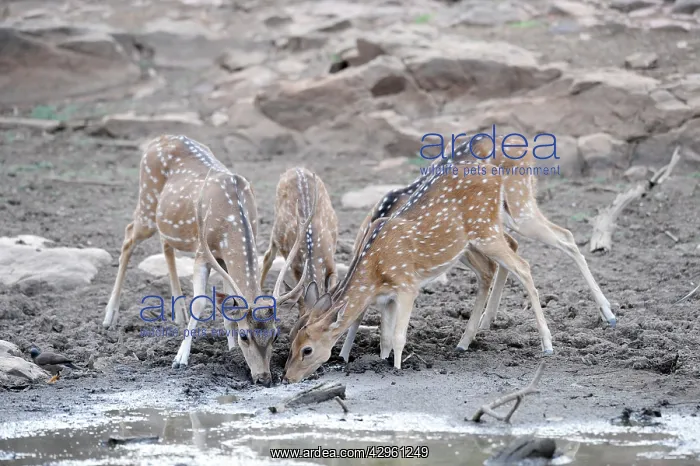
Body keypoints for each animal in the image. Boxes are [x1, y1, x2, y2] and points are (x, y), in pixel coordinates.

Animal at [101, 134, 312, 386]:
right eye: (245, 336)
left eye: (275, 334)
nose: (263, 378)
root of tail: (157, 139)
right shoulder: (203, 253)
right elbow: (200, 302)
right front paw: (180, 358)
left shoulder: (223, 257)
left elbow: (229, 302)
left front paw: (230, 350)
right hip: (147, 204)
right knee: (127, 236)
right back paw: (109, 316)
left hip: (166, 220)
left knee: (164, 244)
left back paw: (178, 313)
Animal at [259, 167, 339, 319]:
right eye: (301, 318)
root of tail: (295, 168)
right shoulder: (295, 266)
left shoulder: (331, 261)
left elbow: (332, 287)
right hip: (276, 228)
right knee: (268, 257)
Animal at [283, 154, 554, 383]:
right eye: (291, 340)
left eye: (307, 349)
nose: (287, 377)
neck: (375, 272)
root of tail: (496, 174)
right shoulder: (387, 297)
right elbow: (384, 338)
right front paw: (381, 362)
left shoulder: (407, 285)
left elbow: (398, 336)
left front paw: (396, 369)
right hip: (468, 245)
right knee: (490, 270)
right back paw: (463, 342)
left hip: (486, 229)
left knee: (523, 266)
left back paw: (547, 345)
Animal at [337, 134, 616, 361]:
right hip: (497, 221)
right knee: (523, 245)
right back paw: (484, 324)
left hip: (517, 205)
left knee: (562, 237)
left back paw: (607, 315)